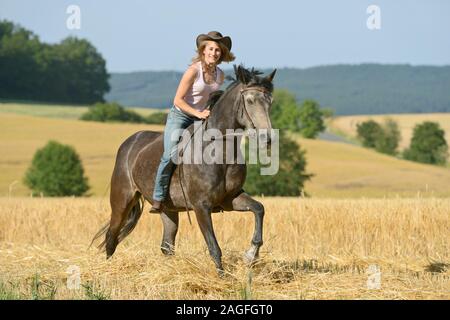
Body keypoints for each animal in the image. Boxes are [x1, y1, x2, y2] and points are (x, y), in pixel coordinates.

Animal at [92, 64, 276, 272]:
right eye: (250, 100)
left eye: (270, 102)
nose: (267, 138)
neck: (219, 150)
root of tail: (129, 143)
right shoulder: (201, 206)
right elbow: (214, 247)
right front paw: (223, 276)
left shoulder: (230, 199)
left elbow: (259, 209)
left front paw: (251, 254)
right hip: (121, 201)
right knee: (111, 237)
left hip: (167, 209)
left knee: (166, 245)